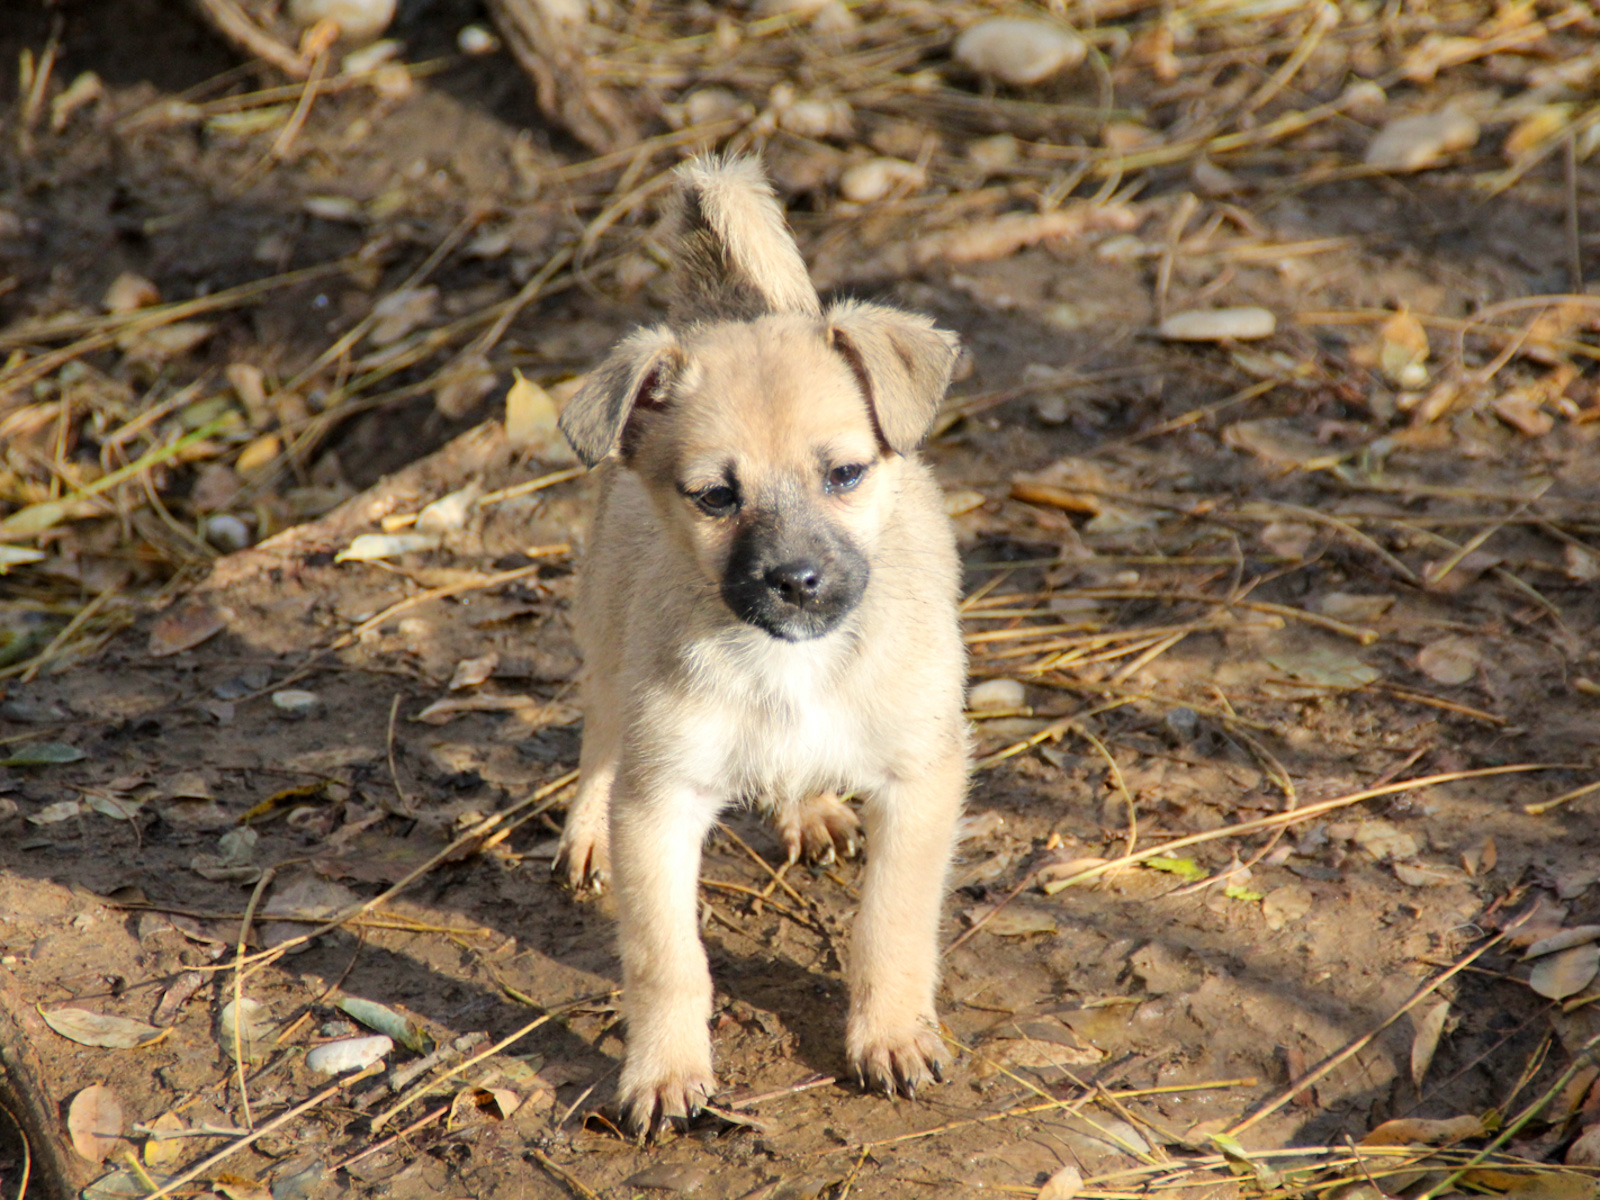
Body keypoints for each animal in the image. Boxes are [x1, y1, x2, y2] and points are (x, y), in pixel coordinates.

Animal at [553, 154, 968, 1137]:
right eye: (715, 497)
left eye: (845, 474)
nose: (795, 581)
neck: (790, 664)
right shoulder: (660, 805)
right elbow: (668, 959)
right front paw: (665, 1071)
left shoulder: (922, 779)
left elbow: (891, 925)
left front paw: (891, 1033)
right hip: (605, 636)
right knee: (598, 737)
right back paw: (584, 830)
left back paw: (809, 806)